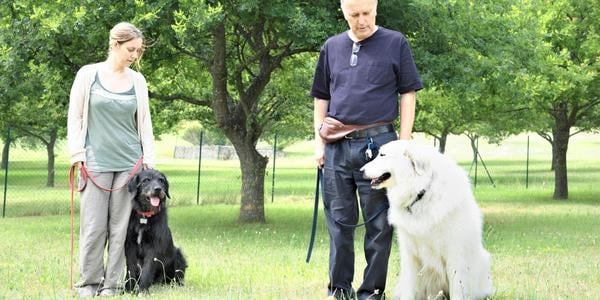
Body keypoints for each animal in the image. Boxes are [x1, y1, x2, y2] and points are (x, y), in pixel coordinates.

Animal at [360, 141, 492, 300]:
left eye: (383, 155)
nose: (361, 171)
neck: (420, 193)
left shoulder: (455, 254)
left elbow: (457, 288)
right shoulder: (409, 253)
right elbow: (408, 288)